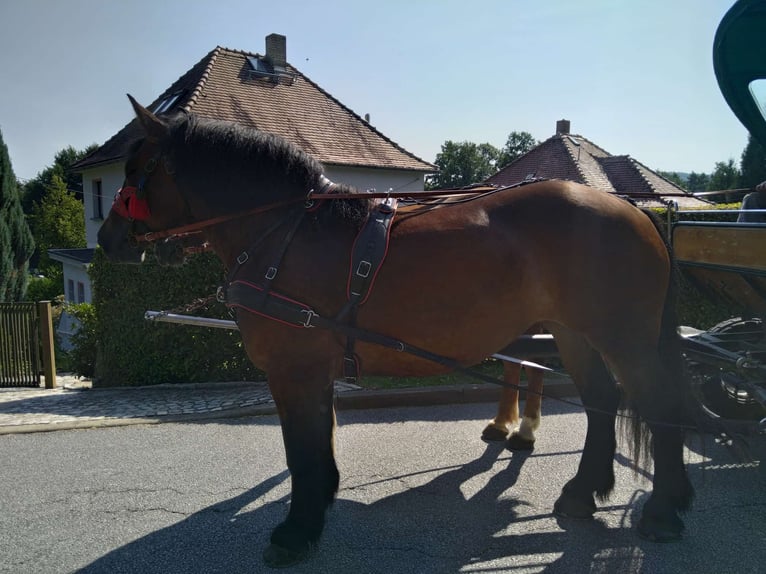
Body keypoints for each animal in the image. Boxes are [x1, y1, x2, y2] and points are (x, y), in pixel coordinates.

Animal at [97, 97, 704, 568]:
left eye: (136, 170)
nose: (107, 240)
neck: (289, 235)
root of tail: (633, 210)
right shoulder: (315, 372)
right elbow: (319, 445)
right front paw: (316, 511)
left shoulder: (295, 371)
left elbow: (302, 452)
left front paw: (296, 532)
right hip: (573, 332)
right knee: (602, 400)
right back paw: (583, 492)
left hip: (624, 337)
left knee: (657, 404)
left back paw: (663, 509)